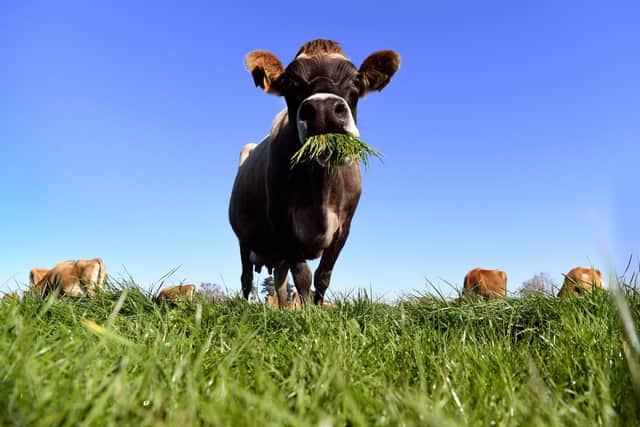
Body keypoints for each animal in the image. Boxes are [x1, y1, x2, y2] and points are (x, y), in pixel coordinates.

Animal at [229, 38, 400, 308]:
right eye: (290, 83)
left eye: (356, 80)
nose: (323, 109)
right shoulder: (282, 221)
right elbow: (303, 275)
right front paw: (308, 312)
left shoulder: (344, 226)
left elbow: (323, 275)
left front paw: (318, 309)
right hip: (244, 238)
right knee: (246, 277)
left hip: (276, 253)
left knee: (279, 280)